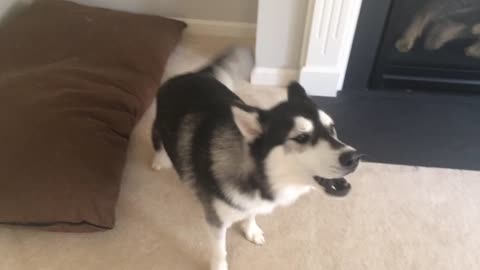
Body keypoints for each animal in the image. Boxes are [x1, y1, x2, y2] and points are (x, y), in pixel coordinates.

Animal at [151, 47, 360, 268]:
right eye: (301, 137)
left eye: (332, 128)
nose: (354, 157)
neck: (260, 176)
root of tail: (188, 75)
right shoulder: (216, 221)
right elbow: (220, 251)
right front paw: (219, 266)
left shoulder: (251, 202)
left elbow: (251, 213)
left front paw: (250, 229)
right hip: (159, 126)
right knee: (158, 140)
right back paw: (159, 160)